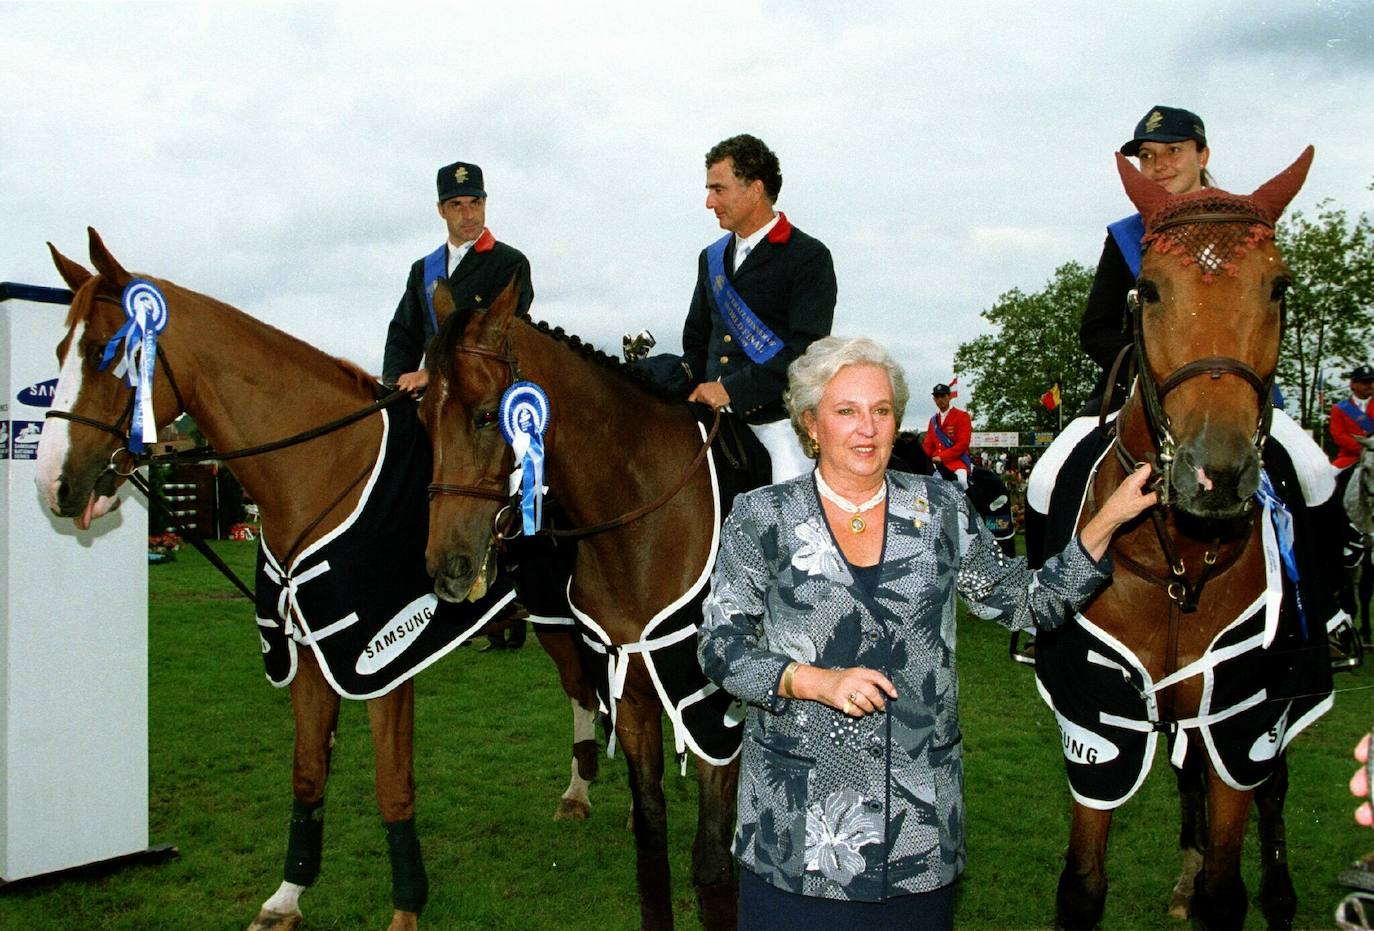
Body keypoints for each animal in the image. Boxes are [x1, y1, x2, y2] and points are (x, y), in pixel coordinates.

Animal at [32, 227, 599, 931]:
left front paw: (406, 910)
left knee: (584, 686)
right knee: (585, 687)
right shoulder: (307, 653)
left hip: (555, 610)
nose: (53, 485)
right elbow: (307, 773)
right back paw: (582, 789)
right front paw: (287, 896)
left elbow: (392, 786)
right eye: (61, 351)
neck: (324, 474)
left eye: (107, 355)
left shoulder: (383, 662)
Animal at [417, 284, 741, 931]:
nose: (448, 567)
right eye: (421, 419)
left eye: (486, 414)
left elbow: (713, 862)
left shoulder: (713, 711)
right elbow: (651, 841)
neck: (642, 527)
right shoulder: (633, 692)